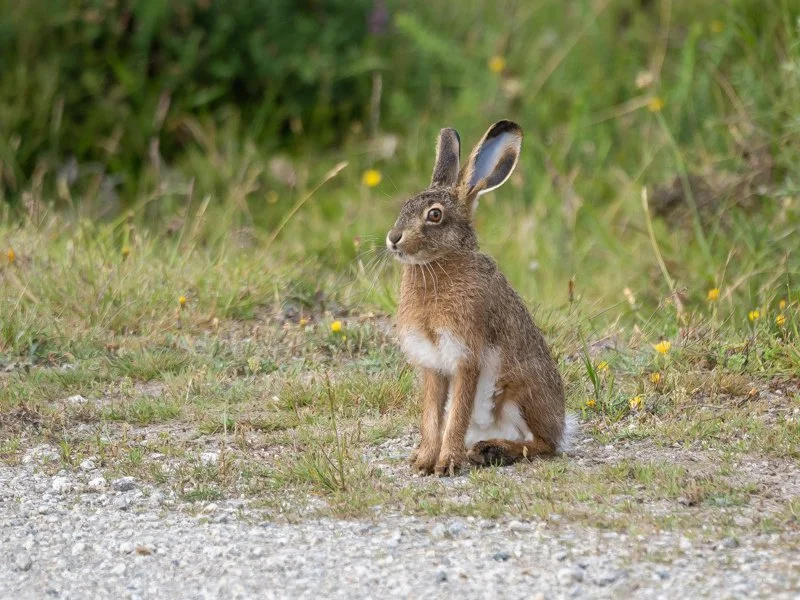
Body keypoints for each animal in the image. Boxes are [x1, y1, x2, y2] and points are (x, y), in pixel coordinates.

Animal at [386, 120, 575, 476]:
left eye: (434, 215)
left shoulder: (465, 355)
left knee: (544, 445)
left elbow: (457, 414)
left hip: (518, 395)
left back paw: (493, 450)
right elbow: (432, 417)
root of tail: (561, 423)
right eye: (405, 206)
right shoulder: (433, 365)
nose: (393, 239)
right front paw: (423, 461)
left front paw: (446, 463)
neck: (440, 263)